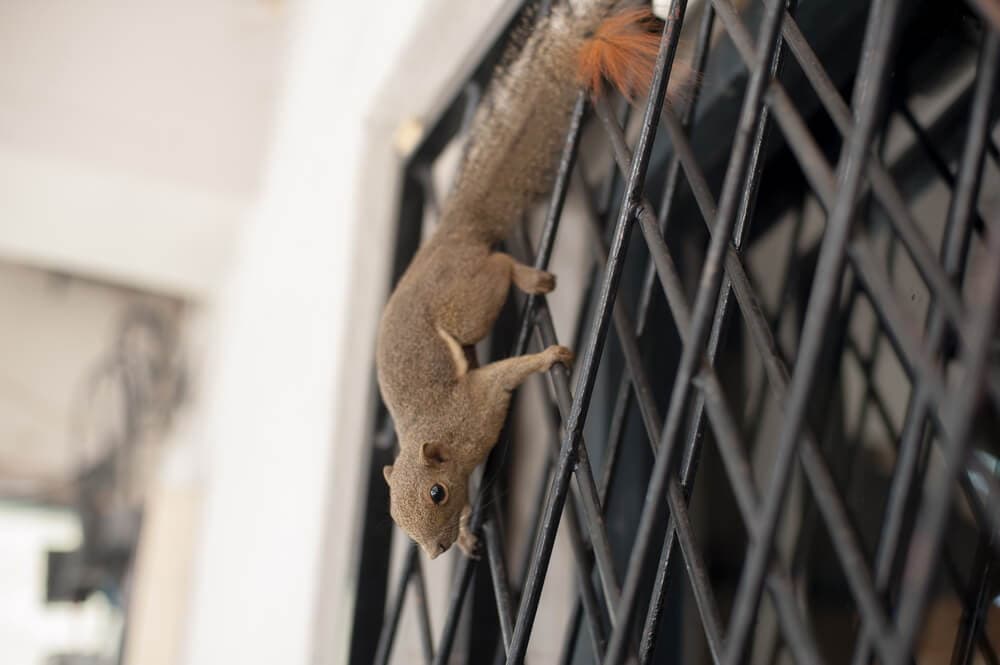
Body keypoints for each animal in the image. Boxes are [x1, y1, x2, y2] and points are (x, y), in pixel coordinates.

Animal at [377, 1, 678, 560]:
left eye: (436, 492)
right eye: (395, 519)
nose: (435, 551)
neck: (439, 434)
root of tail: (448, 235)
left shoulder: (476, 403)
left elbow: (509, 374)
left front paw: (551, 356)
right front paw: (469, 532)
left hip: (467, 299)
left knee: (496, 270)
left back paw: (529, 277)